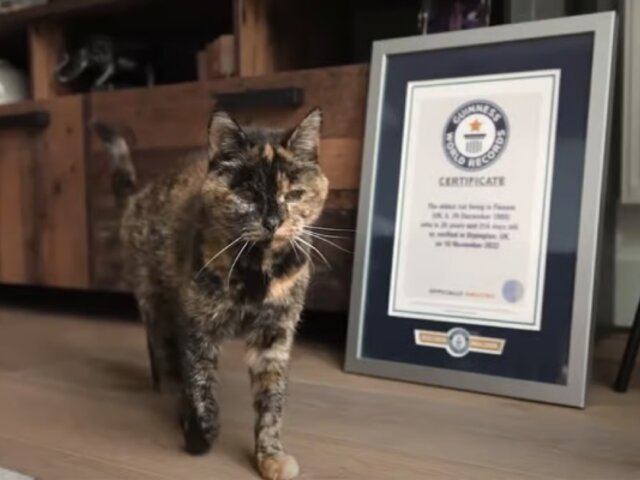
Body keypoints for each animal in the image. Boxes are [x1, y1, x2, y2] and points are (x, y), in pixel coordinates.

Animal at [94, 108, 328, 480]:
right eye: (248, 194)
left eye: (294, 194)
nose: (273, 221)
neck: (257, 271)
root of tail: (140, 195)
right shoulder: (197, 324)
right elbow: (201, 383)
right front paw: (201, 435)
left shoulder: (274, 334)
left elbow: (272, 398)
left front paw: (270, 456)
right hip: (154, 299)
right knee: (161, 347)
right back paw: (170, 390)